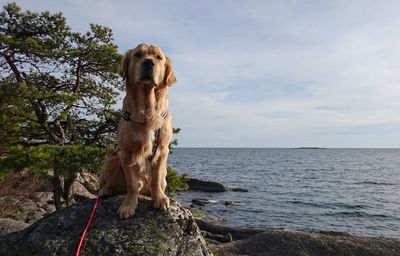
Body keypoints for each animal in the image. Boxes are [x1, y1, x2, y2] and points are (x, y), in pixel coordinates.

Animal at [97, 43, 176, 219]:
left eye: (158, 57)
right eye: (138, 55)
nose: (149, 63)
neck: (146, 112)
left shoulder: (162, 150)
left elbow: (155, 178)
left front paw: (160, 198)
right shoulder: (125, 152)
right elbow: (132, 184)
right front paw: (128, 206)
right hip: (111, 158)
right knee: (110, 182)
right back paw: (105, 190)